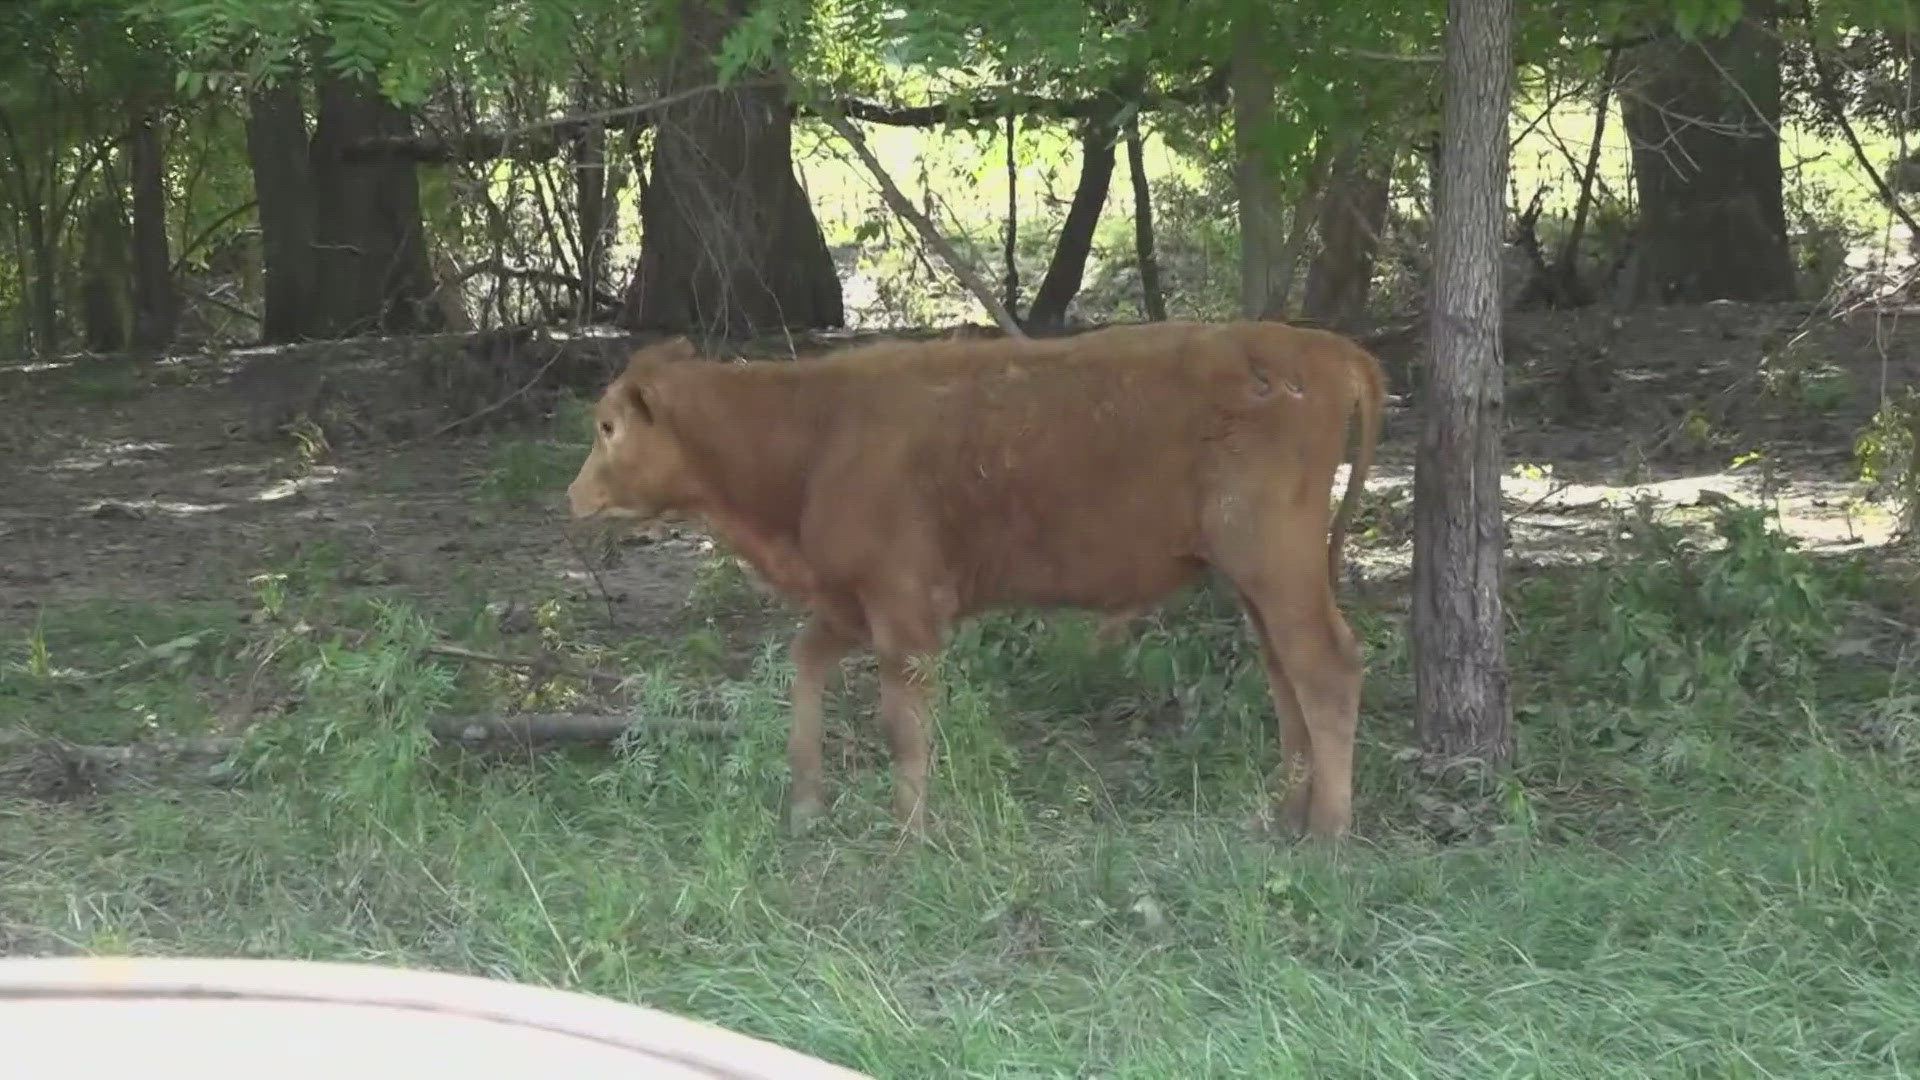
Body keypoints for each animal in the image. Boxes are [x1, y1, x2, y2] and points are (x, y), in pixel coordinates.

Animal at [560, 319, 1390, 841]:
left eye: (607, 426)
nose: (574, 495)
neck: (816, 432)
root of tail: (1318, 347)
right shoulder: (851, 603)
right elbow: (805, 664)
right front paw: (806, 806)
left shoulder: (904, 611)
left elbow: (901, 725)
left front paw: (909, 834)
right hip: (1257, 579)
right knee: (1286, 675)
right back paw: (1285, 816)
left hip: (1274, 562)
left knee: (1326, 669)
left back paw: (1328, 834)